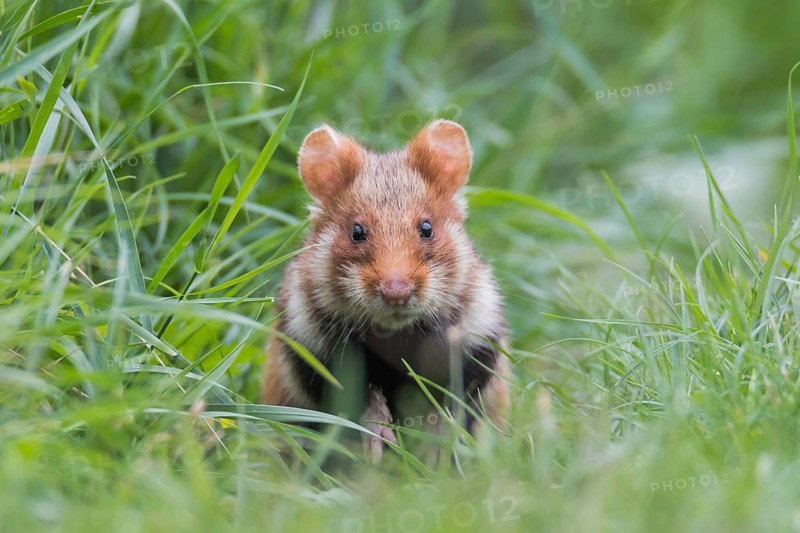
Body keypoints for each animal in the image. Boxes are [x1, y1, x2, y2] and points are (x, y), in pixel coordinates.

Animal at [261, 120, 510, 461]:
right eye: (357, 232)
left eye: (427, 228)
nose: (396, 292)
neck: (396, 334)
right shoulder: (311, 351)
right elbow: (360, 400)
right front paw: (379, 446)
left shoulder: (476, 346)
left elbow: (450, 407)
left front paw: (432, 452)